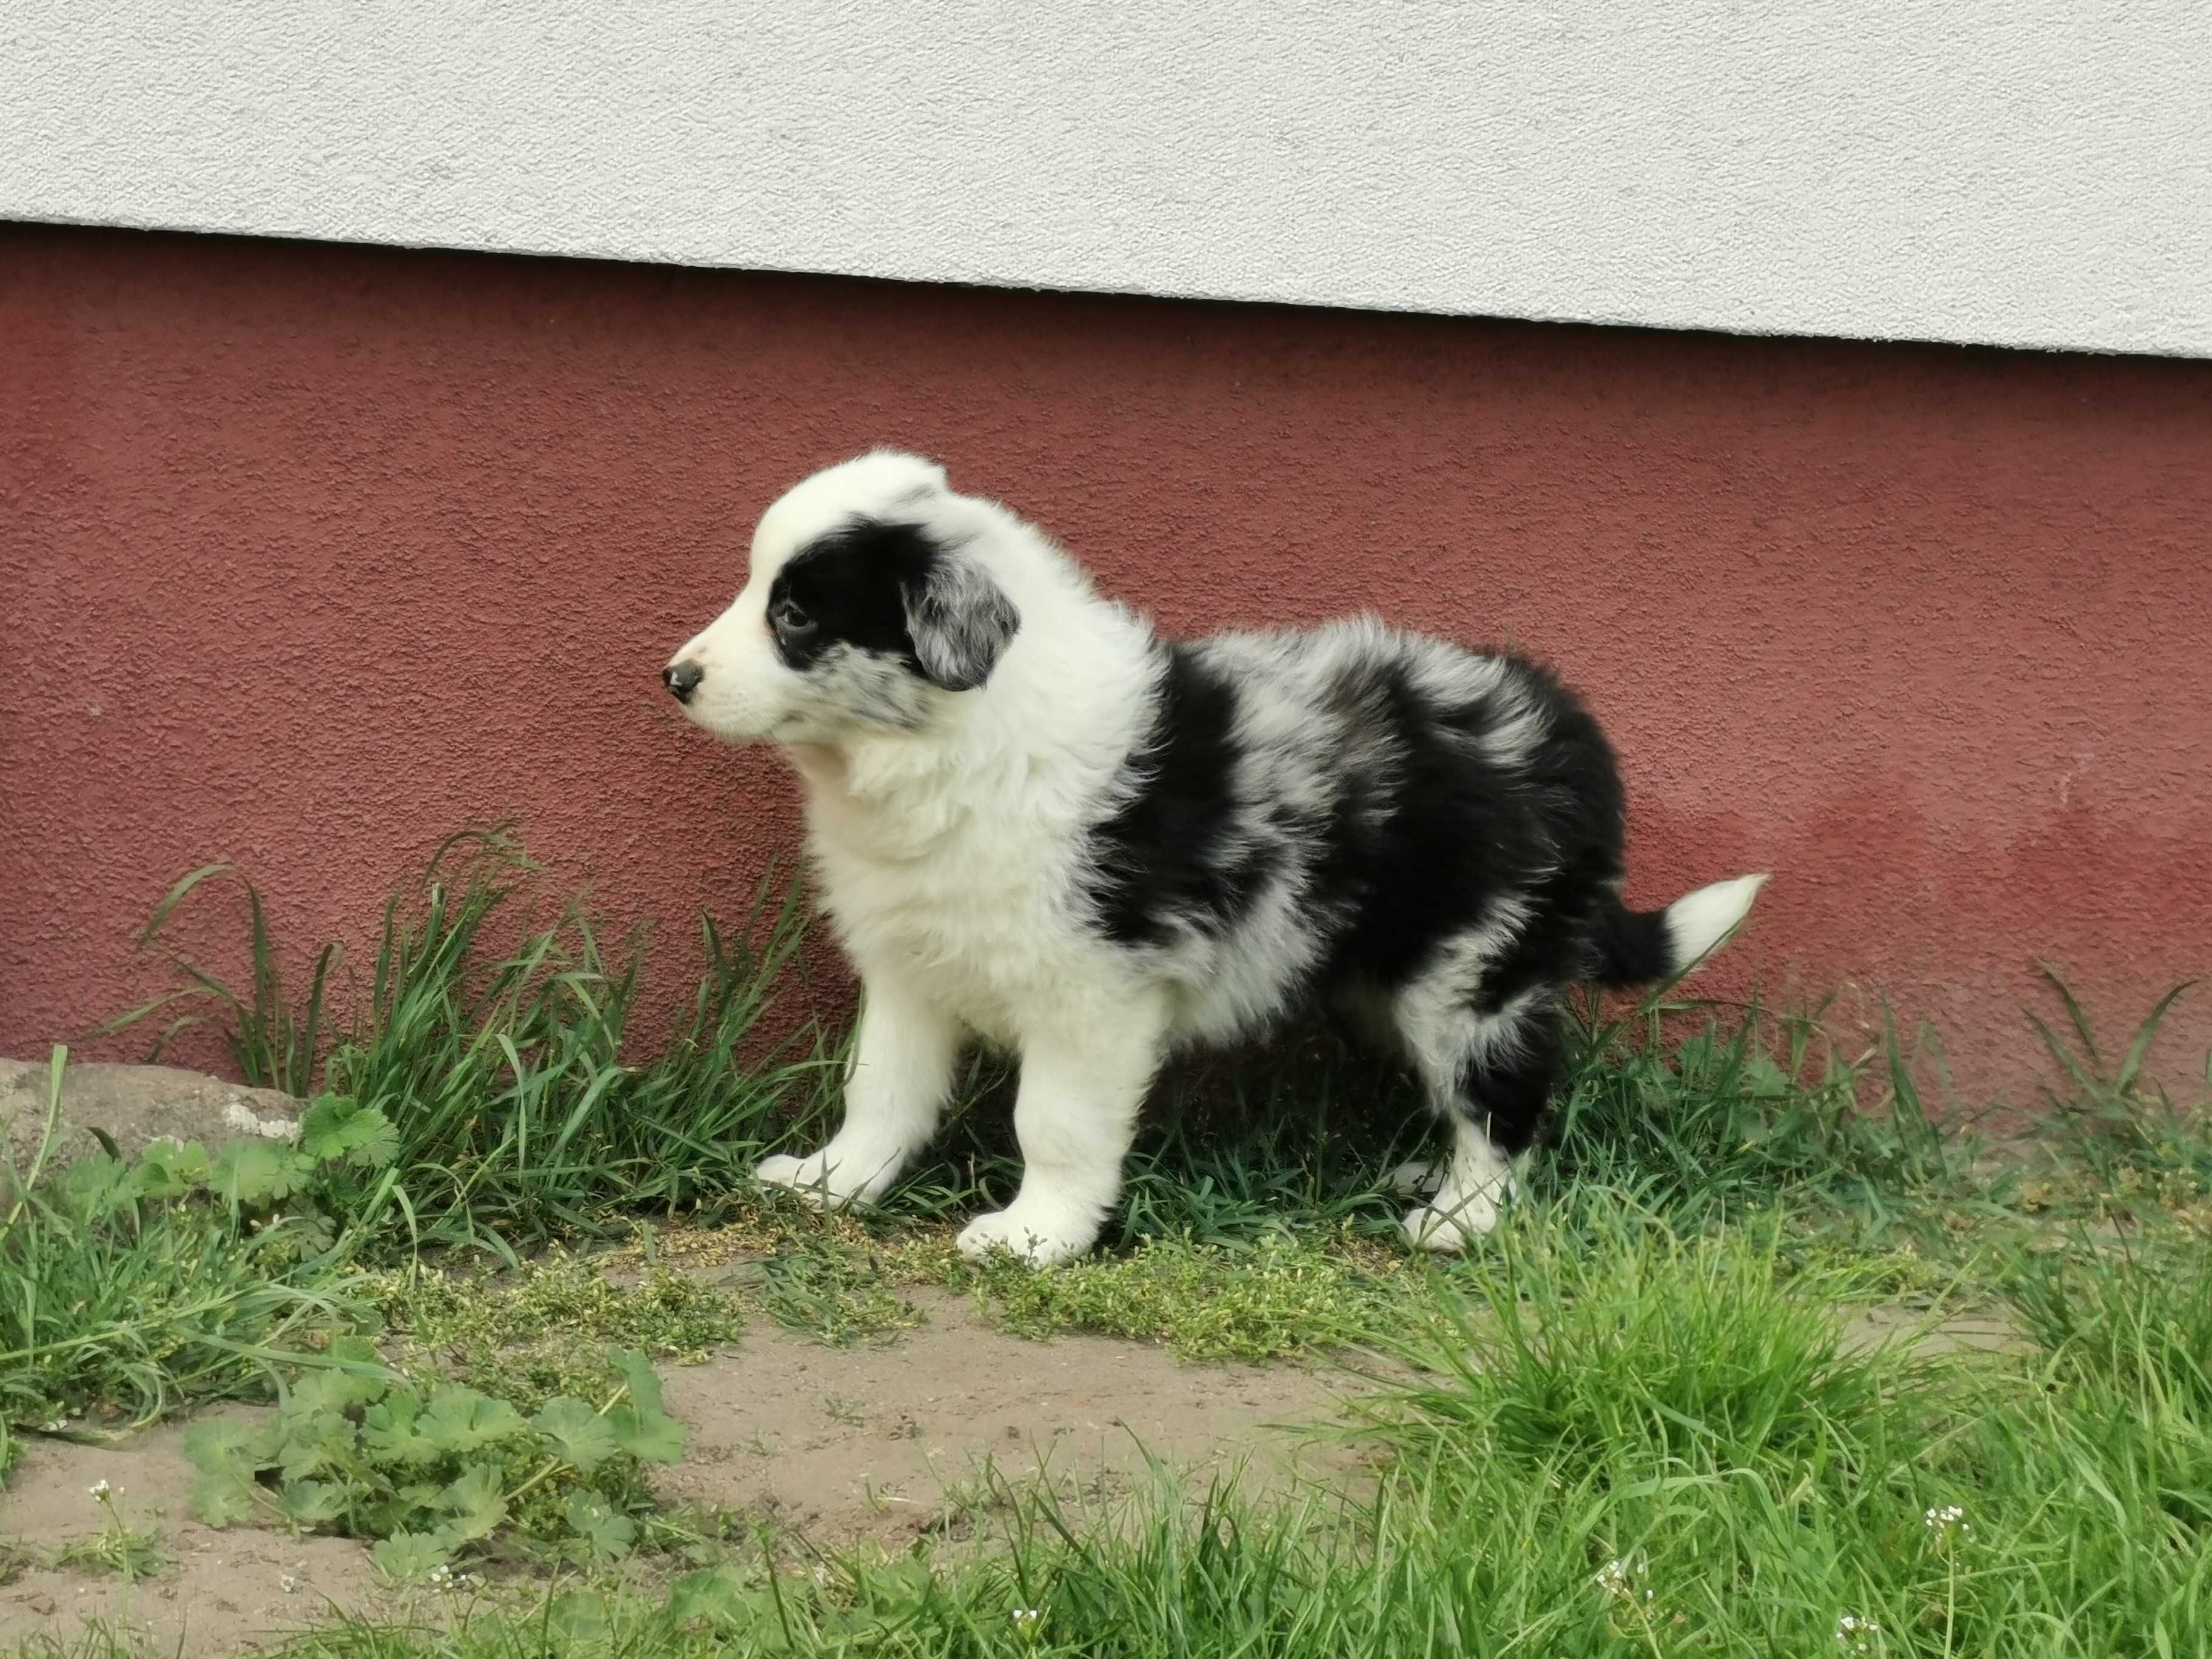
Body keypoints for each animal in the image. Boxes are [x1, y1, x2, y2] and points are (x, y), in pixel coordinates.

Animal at [654, 449, 1760, 1265]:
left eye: (795, 615)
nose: (675, 678)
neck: (945, 744)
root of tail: (1566, 732)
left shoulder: (1092, 992)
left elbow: (1052, 1121)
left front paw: (1034, 1235)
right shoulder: (909, 965)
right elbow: (880, 1091)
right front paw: (833, 1183)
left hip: (1471, 971)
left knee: (1503, 1098)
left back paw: (1460, 1218)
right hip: (1388, 973)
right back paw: (1427, 1175)